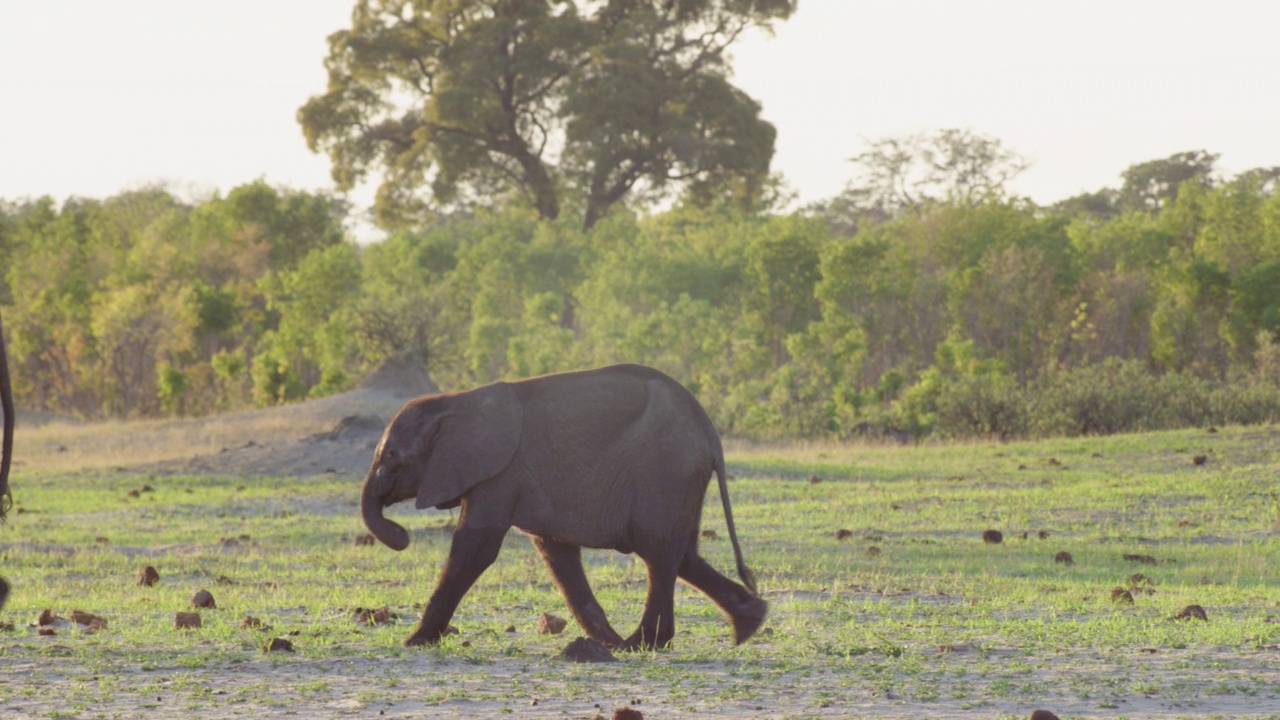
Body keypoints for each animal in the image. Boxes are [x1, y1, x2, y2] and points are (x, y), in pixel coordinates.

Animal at [360, 361, 762, 648]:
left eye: (392, 455)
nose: (401, 536)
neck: (454, 401)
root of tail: (709, 432)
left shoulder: (500, 474)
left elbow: (475, 549)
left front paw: (412, 642)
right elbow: (557, 555)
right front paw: (606, 643)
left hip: (667, 470)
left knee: (659, 553)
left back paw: (643, 644)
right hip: (680, 479)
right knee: (682, 554)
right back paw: (748, 625)